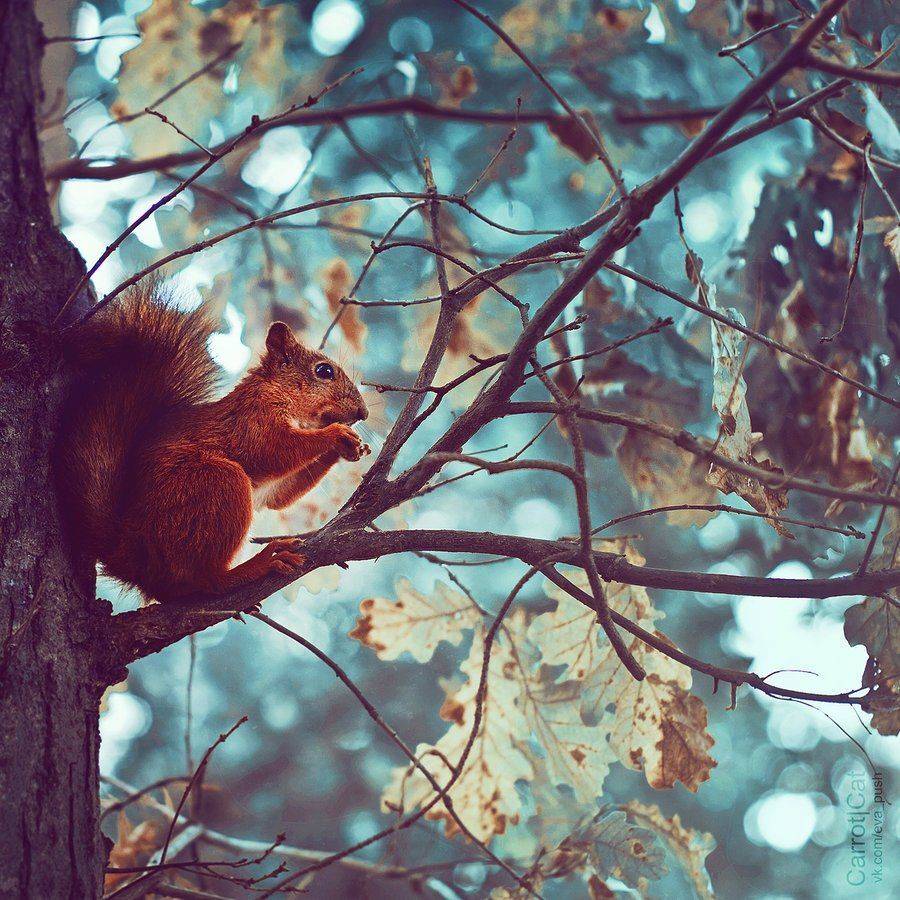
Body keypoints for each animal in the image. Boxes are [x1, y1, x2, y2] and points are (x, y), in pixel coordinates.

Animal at [57, 281, 369, 604]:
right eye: (324, 371)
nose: (364, 413)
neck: (279, 393)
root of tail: (130, 555)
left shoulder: (271, 482)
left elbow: (280, 495)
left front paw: (350, 449)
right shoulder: (253, 419)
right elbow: (274, 451)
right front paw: (336, 435)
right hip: (214, 483)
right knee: (202, 581)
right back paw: (254, 566)